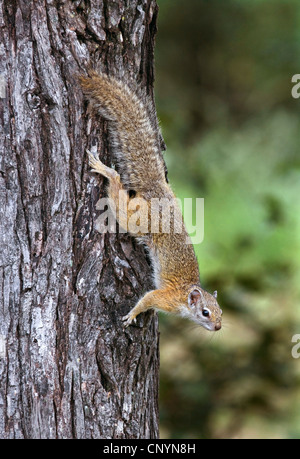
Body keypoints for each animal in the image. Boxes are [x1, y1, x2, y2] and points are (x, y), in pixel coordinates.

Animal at [79, 71, 223, 330]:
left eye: (221, 312)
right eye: (205, 312)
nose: (218, 327)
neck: (184, 297)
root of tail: (158, 190)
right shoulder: (165, 298)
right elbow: (147, 298)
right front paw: (132, 314)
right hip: (137, 220)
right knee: (118, 193)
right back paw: (106, 170)